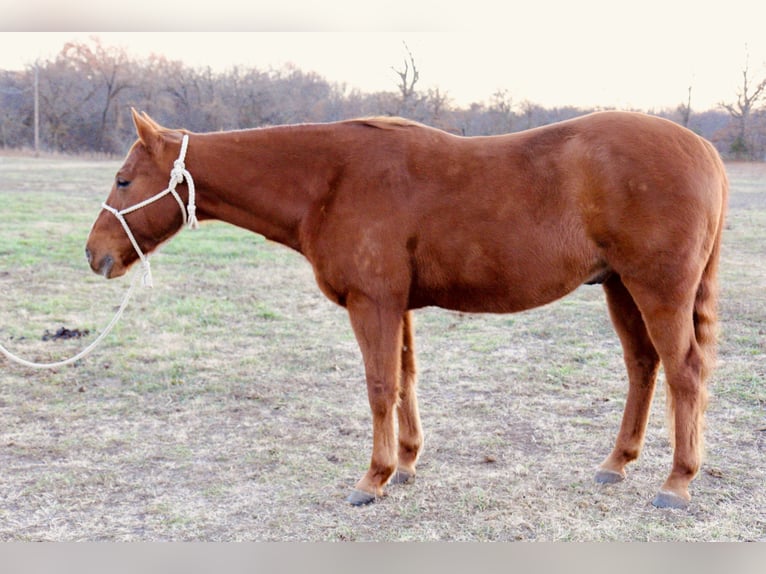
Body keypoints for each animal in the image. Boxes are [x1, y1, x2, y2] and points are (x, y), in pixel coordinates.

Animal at [87, 107, 728, 508]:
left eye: (124, 181)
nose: (95, 254)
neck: (331, 181)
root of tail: (705, 150)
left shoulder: (372, 303)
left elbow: (379, 386)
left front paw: (373, 479)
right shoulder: (397, 305)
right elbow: (405, 379)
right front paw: (409, 462)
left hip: (657, 290)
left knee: (685, 373)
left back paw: (676, 484)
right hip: (620, 287)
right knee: (644, 367)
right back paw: (616, 464)